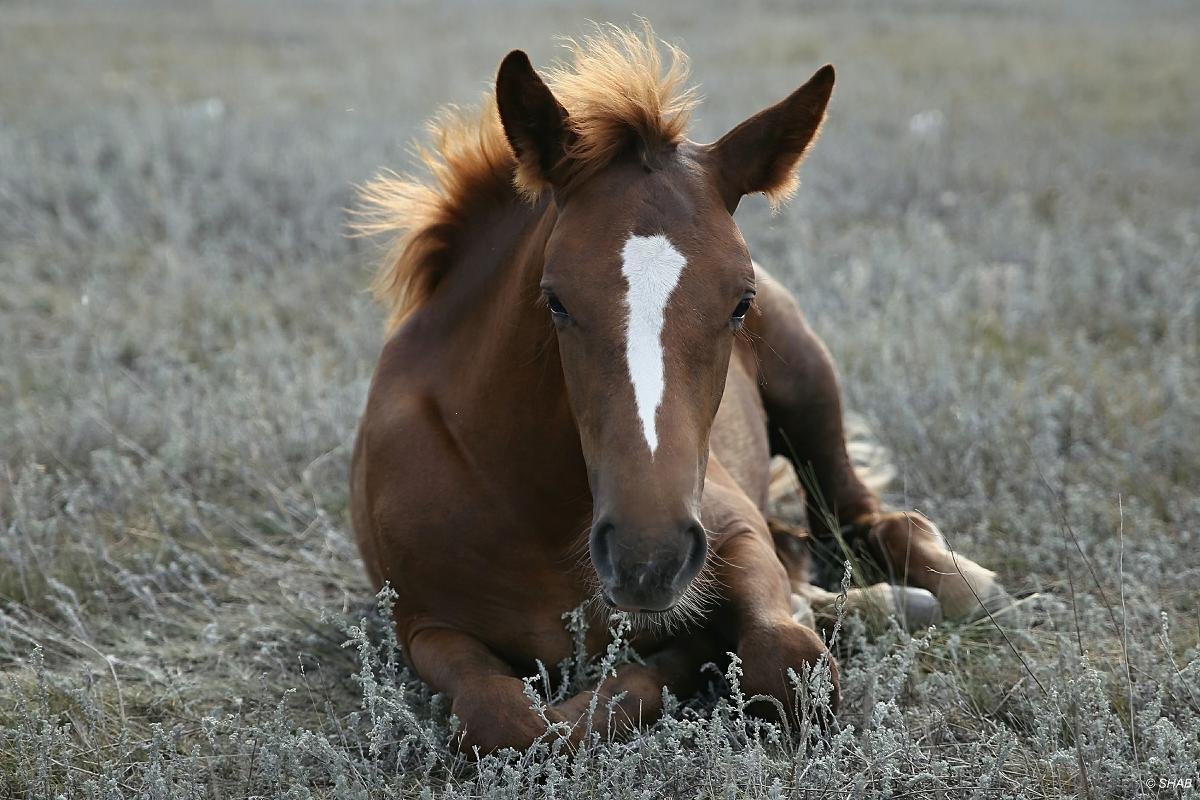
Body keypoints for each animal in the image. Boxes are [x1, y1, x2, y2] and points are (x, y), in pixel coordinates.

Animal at [350, 25, 1012, 753]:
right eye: (555, 300)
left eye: (739, 302)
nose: (649, 558)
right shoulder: (422, 627)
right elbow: (507, 723)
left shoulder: (732, 527)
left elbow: (785, 661)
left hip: (810, 388)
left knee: (865, 517)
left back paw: (956, 588)